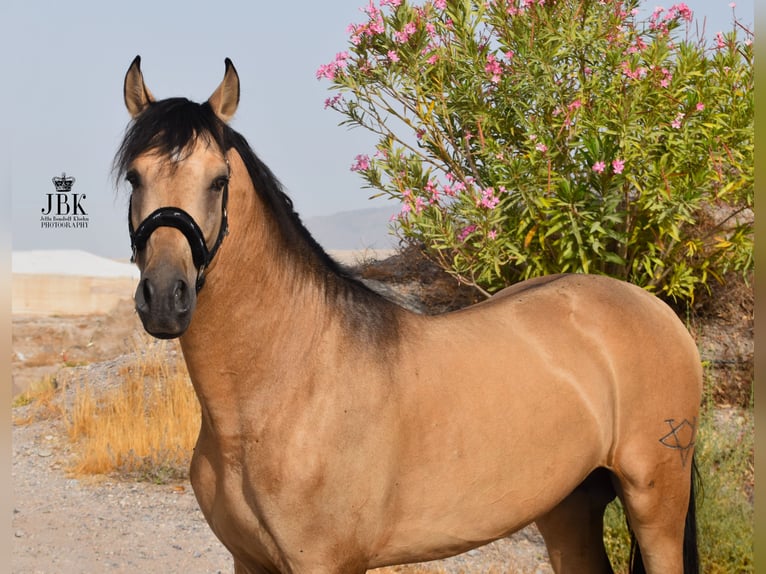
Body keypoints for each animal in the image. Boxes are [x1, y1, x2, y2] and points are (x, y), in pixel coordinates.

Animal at [115, 55, 704, 574]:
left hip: (656, 502)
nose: (165, 297)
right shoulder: (249, 561)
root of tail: (655, 309)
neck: (289, 385)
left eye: (218, 180)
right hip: (568, 506)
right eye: (135, 178)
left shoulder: (326, 562)